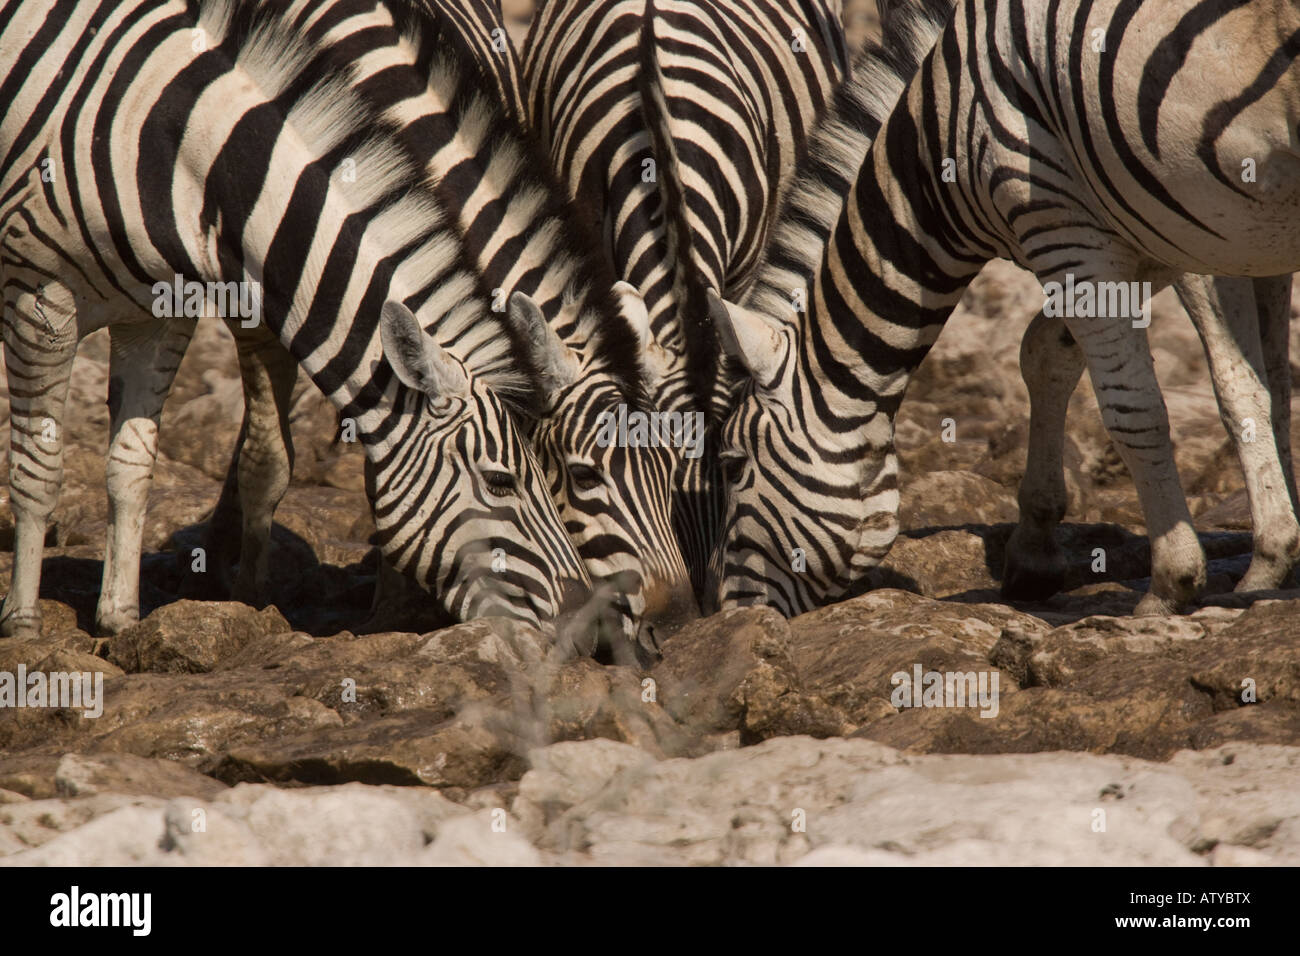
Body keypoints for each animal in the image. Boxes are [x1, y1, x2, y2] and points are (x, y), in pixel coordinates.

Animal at [0, 0, 593, 638]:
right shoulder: (39, 296)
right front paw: (25, 623)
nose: (586, 617)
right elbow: (38, 471)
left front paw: (120, 619)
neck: (181, 161)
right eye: (501, 482)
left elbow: (131, 467)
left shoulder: (157, 313)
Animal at [707, 0, 1300, 617]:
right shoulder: (1163, 238)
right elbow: (1258, 385)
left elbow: (1153, 404)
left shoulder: (1091, 226)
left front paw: (1177, 581)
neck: (943, 138)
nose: (729, 615)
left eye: (731, 464)